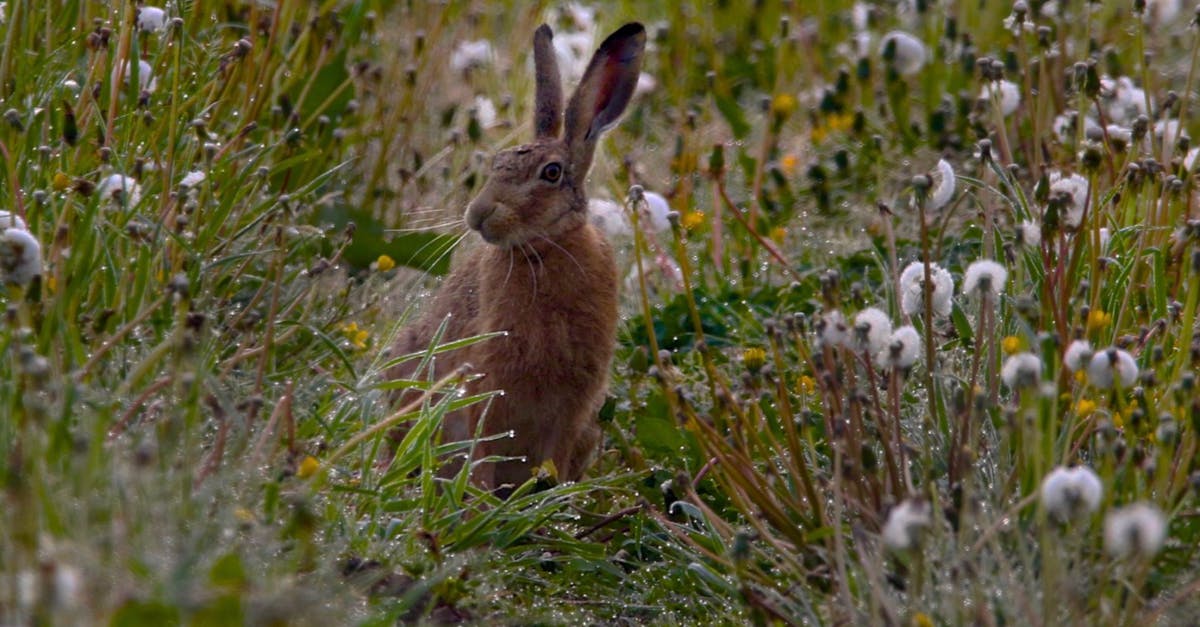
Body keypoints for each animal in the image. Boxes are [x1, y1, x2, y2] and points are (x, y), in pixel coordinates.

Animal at [390, 22, 646, 490]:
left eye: (551, 173)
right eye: (497, 163)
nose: (478, 214)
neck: (544, 250)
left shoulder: (574, 406)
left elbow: (554, 460)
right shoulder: (485, 385)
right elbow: (481, 450)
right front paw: (481, 500)